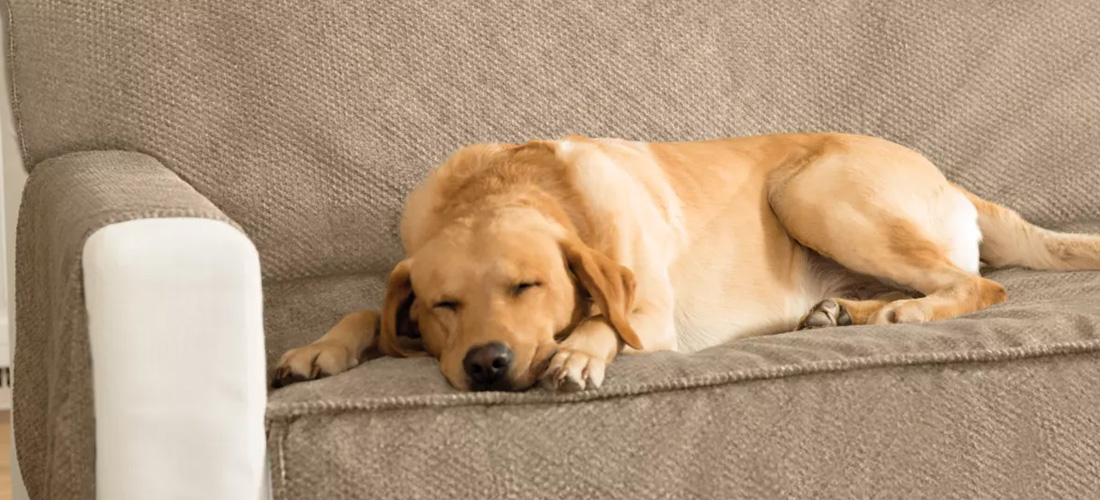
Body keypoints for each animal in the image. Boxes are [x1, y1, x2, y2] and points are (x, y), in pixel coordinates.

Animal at [272, 135, 1100, 393]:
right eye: (445, 305)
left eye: (527, 286)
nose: (487, 364)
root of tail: (952, 180)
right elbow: (364, 307)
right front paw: (319, 349)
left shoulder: (651, 314)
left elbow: (608, 321)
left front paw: (578, 353)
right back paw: (845, 310)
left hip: (808, 189)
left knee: (979, 285)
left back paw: (901, 311)